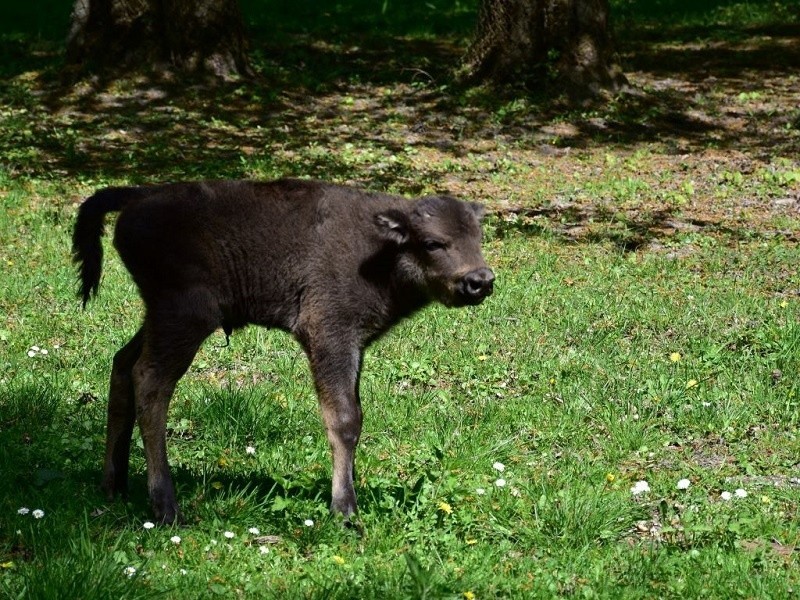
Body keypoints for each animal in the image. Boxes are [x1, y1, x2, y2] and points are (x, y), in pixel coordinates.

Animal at [73, 178, 494, 524]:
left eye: (478, 238)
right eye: (433, 242)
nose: (481, 281)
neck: (381, 251)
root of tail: (138, 196)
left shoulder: (355, 346)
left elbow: (356, 413)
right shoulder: (330, 335)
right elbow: (344, 419)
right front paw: (345, 509)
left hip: (158, 317)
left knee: (122, 364)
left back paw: (114, 485)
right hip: (185, 318)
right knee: (150, 382)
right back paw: (166, 506)